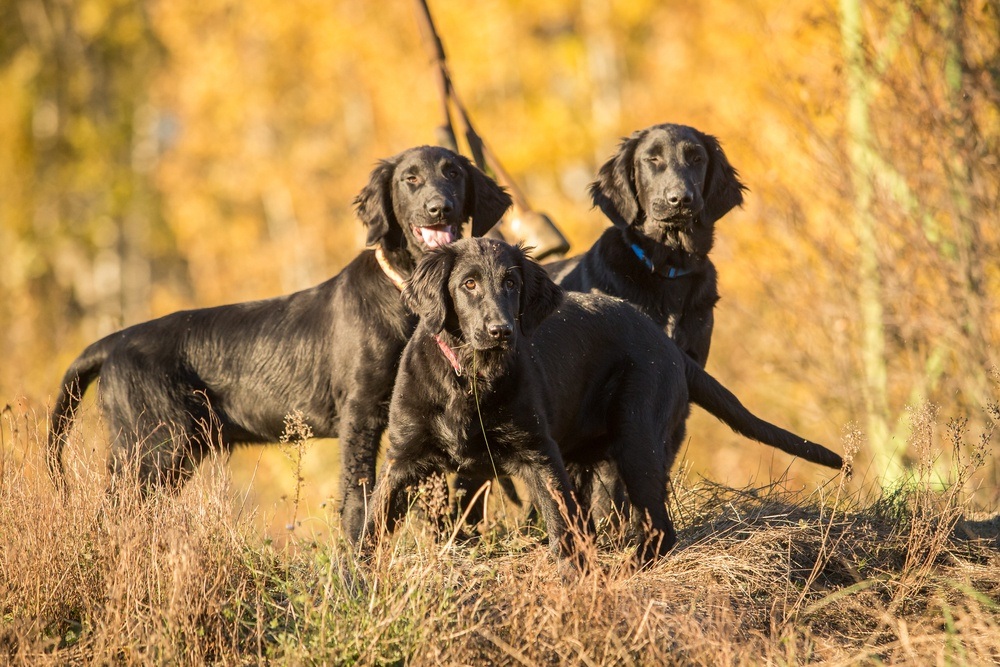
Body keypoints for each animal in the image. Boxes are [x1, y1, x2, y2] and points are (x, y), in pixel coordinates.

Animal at [46, 146, 508, 544]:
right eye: (410, 179)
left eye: (453, 173)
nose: (439, 208)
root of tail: (114, 342)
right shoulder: (360, 413)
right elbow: (359, 496)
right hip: (151, 449)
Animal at [356, 237, 840, 568]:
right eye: (468, 284)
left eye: (511, 282)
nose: (501, 331)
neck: (472, 379)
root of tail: (666, 345)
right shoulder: (402, 458)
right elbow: (371, 523)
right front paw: (355, 581)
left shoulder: (538, 454)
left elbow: (561, 526)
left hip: (638, 439)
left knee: (658, 528)